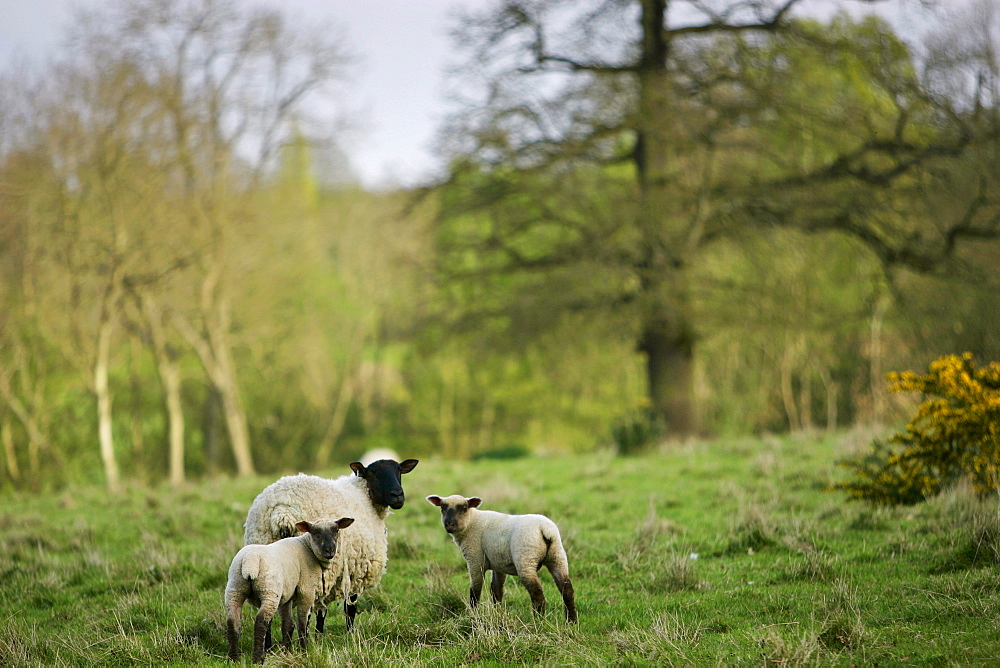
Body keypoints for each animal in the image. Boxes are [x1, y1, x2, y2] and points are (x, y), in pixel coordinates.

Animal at [226, 516, 356, 664]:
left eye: (336, 531)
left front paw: (286, 652)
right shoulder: (306, 590)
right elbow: (302, 623)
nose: (330, 550)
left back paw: (233, 658)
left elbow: (288, 624)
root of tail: (249, 561)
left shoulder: (287, 595)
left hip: (235, 589)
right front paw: (304, 651)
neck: (307, 547)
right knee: (260, 622)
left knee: (232, 621)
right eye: (315, 533)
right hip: (269, 591)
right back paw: (258, 659)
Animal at [246, 456, 418, 636]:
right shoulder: (353, 568)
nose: (397, 495)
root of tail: (283, 512)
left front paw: (320, 635)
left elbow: (324, 609)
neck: (365, 495)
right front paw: (349, 633)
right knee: (305, 611)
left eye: (398, 470)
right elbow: (349, 606)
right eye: (372, 473)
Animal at [424, 494, 580, 624]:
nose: (449, 524)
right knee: (567, 589)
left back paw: (539, 621)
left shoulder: (475, 560)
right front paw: (497, 613)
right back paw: (571, 621)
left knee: (537, 593)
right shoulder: (498, 564)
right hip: (557, 556)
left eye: (464, 508)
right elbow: (496, 590)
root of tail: (545, 529)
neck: (471, 523)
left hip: (526, 559)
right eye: (442, 508)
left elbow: (475, 590)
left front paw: (473, 615)